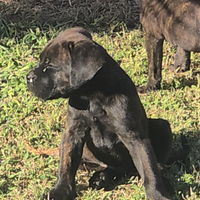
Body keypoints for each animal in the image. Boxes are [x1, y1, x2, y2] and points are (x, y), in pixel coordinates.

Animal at [25, 27, 172, 199]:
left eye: (50, 65)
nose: (28, 77)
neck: (92, 96)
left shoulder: (134, 136)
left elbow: (149, 168)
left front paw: (157, 194)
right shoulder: (73, 132)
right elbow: (66, 165)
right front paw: (60, 191)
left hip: (162, 126)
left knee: (149, 165)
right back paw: (101, 178)